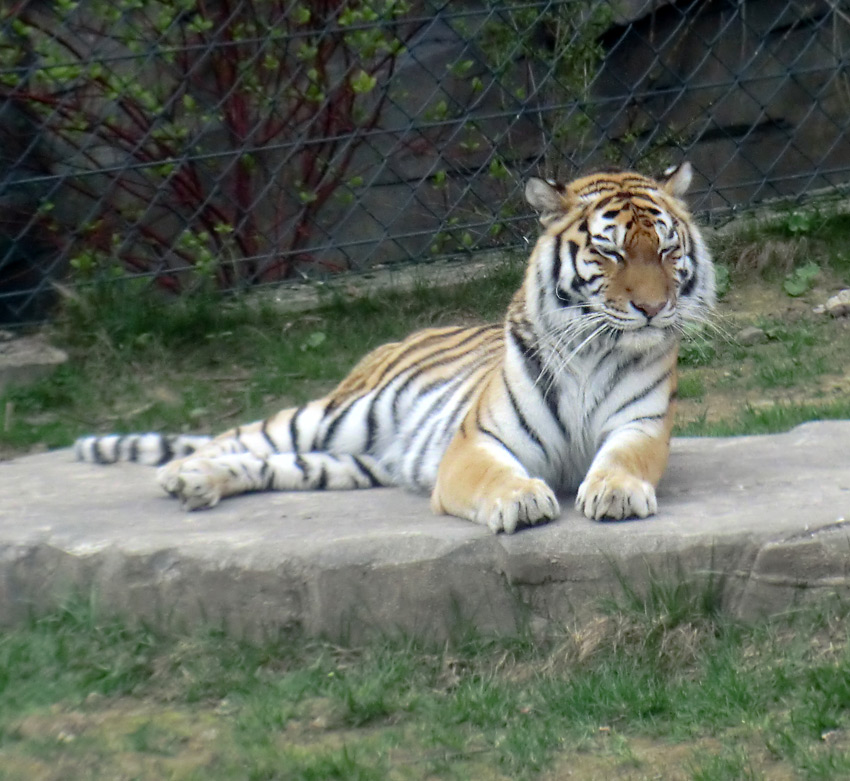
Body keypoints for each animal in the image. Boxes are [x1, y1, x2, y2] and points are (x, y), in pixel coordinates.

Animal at [73, 161, 712, 532]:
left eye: (665, 249)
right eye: (610, 252)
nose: (652, 308)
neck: (593, 349)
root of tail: (407, 333)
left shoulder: (641, 425)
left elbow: (624, 459)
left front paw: (616, 492)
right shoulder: (477, 442)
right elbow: (496, 476)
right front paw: (522, 500)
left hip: (342, 461)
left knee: (268, 463)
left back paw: (202, 484)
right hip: (333, 416)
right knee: (237, 437)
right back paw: (181, 474)